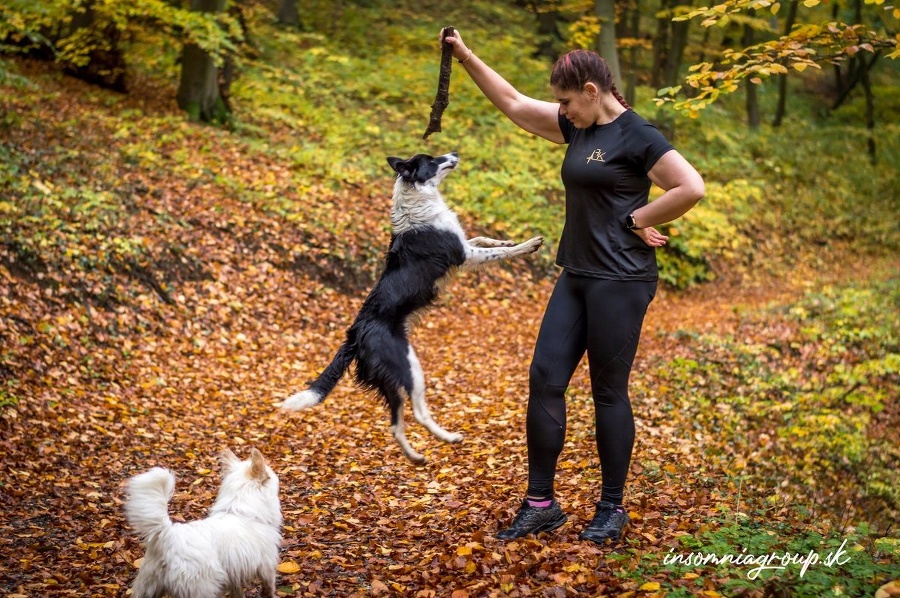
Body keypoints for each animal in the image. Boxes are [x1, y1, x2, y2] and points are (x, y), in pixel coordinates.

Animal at [125, 450, 282, 598]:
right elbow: (269, 586)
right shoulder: (266, 565)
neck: (237, 510)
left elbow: (237, 592)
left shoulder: (234, 575)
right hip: (201, 589)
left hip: (148, 587)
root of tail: (166, 535)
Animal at [282, 152, 544, 466]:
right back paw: (449, 437)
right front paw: (527, 245)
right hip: (410, 367)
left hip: (389, 380)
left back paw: (417, 456)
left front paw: (503, 238)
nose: (455, 154)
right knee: (418, 412)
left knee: (396, 425)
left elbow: (482, 238)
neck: (418, 197)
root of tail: (355, 334)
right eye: (431, 160)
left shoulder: (464, 244)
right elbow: (498, 252)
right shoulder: (465, 256)